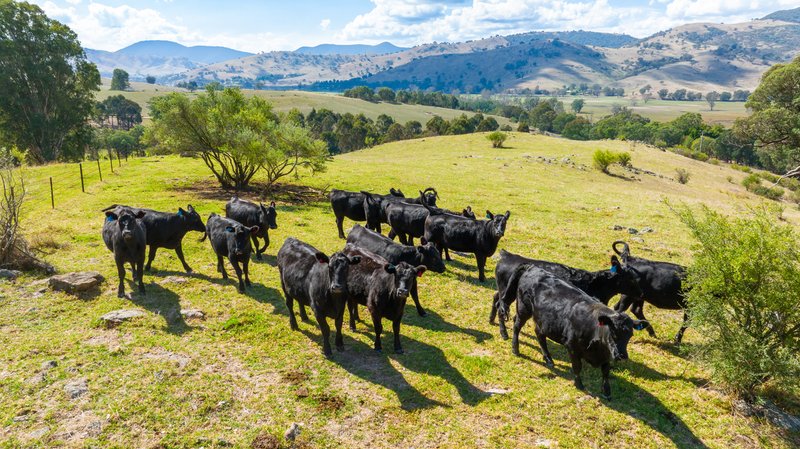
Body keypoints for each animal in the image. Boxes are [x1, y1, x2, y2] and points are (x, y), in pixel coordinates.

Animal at [490, 248, 640, 340]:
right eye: (631, 279)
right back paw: (504, 333)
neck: (595, 283)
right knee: (501, 306)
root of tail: (507, 255)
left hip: (504, 291)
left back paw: (492, 320)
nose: (641, 293)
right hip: (507, 292)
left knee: (497, 300)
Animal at [506, 264, 648, 398]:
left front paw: (607, 392)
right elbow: (577, 367)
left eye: (630, 335)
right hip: (523, 308)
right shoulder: (572, 347)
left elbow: (606, 371)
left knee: (539, 334)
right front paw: (579, 385)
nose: (622, 355)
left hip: (542, 321)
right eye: (613, 332)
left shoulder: (606, 354)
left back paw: (548, 359)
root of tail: (532, 267)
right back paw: (515, 349)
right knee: (517, 326)